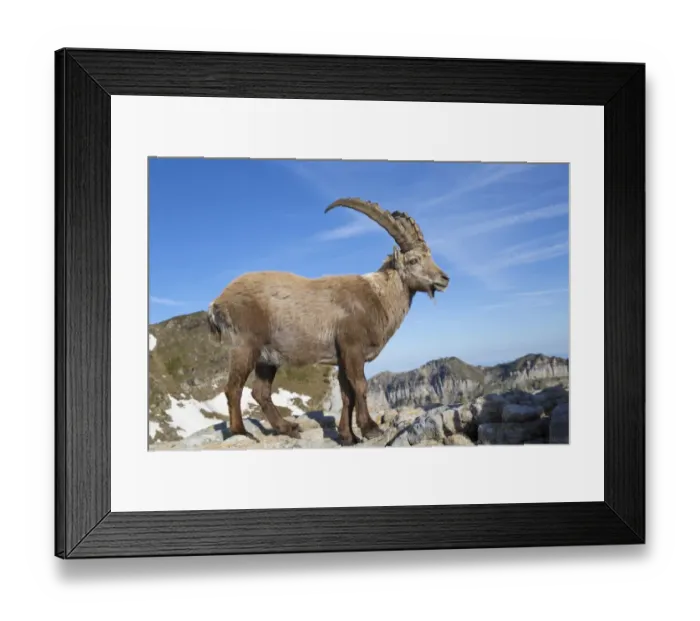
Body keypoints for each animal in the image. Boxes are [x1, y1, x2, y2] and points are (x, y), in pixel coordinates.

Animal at [207, 198, 450, 446]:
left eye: (429, 256)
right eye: (413, 260)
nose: (444, 279)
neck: (377, 297)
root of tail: (218, 301)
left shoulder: (341, 358)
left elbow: (346, 394)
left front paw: (348, 435)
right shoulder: (352, 348)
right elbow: (360, 386)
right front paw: (369, 428)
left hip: (267, 357)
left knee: (260, 391)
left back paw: (287, 428)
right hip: (245, 346)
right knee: (234, 388)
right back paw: (241, 431)